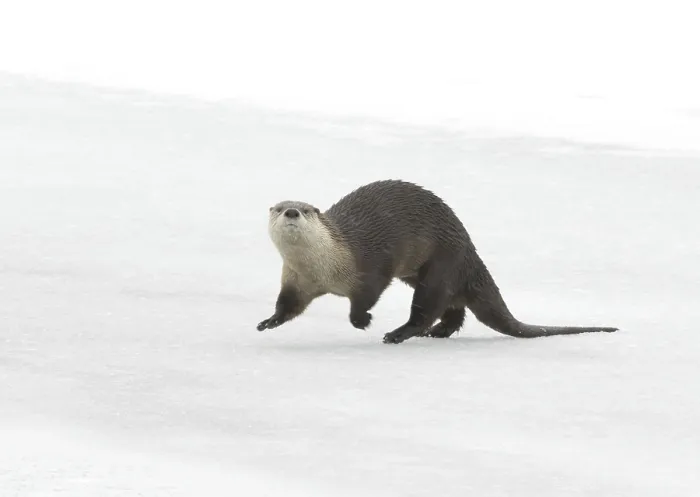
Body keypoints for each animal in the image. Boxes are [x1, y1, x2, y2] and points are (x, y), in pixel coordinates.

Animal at [257, 179, 618, 344]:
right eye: (280, 208)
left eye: (306, 210)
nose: (291, 212)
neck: (326, 270)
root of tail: (469, 250)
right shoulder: (297, 281)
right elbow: (288, 305)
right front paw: (268, 322)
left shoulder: (370, 266)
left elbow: (367, 295)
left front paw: (362, 321)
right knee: (454, 309)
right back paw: (437, 332)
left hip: (440, 266)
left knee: (427, 308)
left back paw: (398, 334)